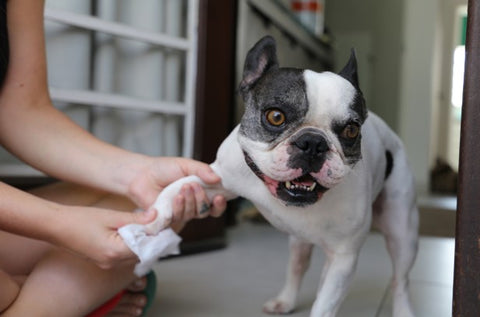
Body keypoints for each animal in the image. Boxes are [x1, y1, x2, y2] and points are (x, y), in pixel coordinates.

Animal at [148, 35, 418, 316]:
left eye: (352, 130)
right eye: (275, 116)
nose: (313, 143)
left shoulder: (343, 258)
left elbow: (324, 306)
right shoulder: (220, 178)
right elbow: (182, 184)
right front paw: (156, 217)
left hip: (402, 234)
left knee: (400, 279)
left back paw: (403, 310)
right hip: (299, 241)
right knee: (297, 267)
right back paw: (285, 301)